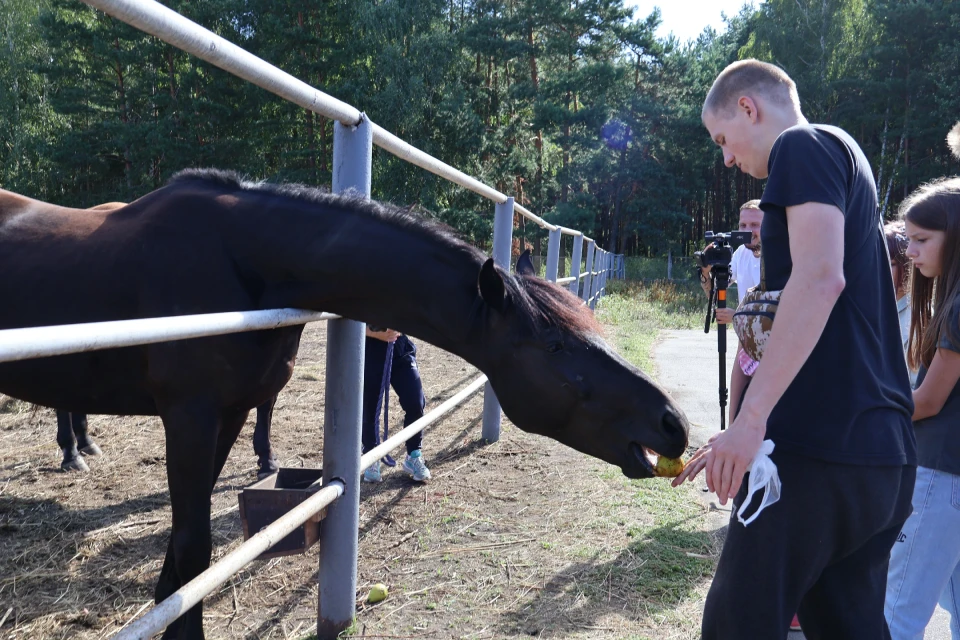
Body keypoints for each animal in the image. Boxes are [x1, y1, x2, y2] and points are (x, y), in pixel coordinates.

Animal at [0, 170, 688, 640]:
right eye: (555, 344)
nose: (672, 424)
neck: (241, 263)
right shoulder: (189, 415)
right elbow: (193, 548)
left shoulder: (228, 414)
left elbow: (181, 553)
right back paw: (74, 453)